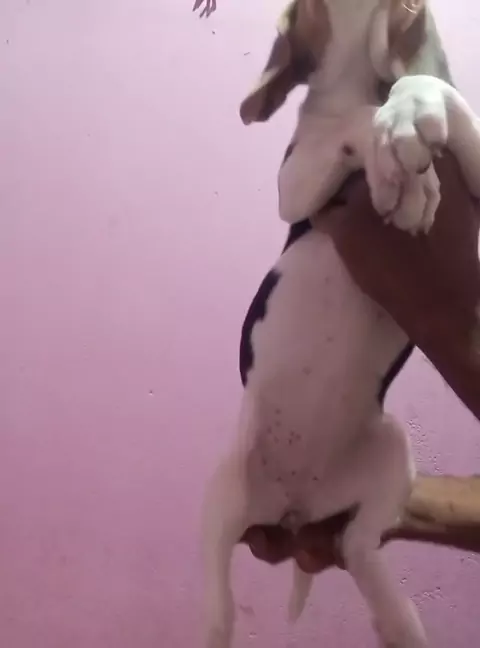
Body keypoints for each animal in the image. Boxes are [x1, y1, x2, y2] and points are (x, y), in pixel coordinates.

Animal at [201, 2, 480, 647]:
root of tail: (295, 506)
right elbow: (350, 123)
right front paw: (394, 160)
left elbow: (429, 91)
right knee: (220, 601)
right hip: (223, 488)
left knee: (359, 544)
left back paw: (400, 621)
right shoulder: (295, 179)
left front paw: (407, 119)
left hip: (392, 452)